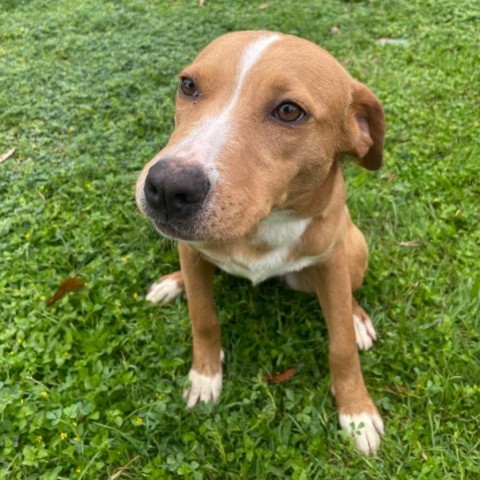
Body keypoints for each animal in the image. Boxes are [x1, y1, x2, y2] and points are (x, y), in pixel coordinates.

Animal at [135, 31, 386, 456]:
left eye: (288, 111)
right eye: (188, 86)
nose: (167, 188)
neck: (264, 224)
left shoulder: (331, 261)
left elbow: (341, 347)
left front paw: (357, 412)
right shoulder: (191, 251)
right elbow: (203, 318)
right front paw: (205, 376)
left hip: (352, 248)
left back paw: (356, 318)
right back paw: (173, 283)